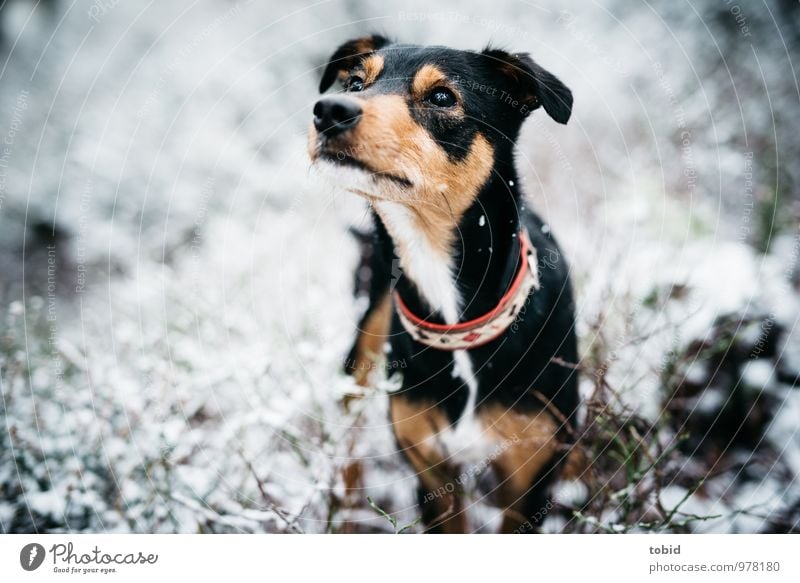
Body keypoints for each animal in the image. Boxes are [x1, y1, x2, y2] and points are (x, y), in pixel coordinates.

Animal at [310, 35, 580, 532]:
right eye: (356, 84)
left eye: (441, 97)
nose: (330, 110)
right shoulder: (431, 470)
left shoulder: (529, 477)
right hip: (363, 342)